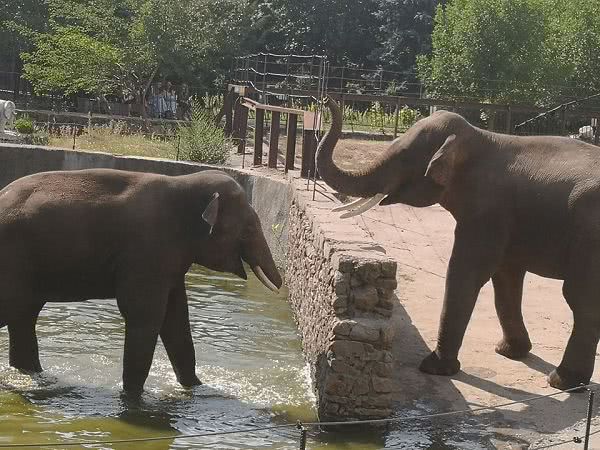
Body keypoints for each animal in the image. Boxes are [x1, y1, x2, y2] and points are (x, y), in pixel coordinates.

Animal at [0, 168, 282, 394]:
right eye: (248, 229)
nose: (280, 287)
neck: (184, 182)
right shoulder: (148, 251)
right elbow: (145, 314)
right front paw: (133, 396)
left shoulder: (168, 263)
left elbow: (176, 318)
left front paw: (198, 388)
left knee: (23, 317)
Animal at [322, 97, 600, 390]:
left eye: (405, 156)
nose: (326, 99)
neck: (481, 137)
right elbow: (506, 278)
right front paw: (509, 352)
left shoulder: (486, 212)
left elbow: (465, 273)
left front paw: (435, 368)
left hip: (590, 240)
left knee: (581, 299)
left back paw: (563, 381)